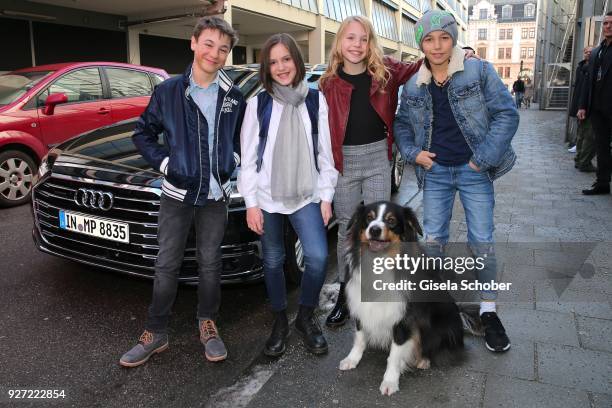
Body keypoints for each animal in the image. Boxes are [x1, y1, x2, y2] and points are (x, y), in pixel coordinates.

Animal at [340, 201, 478, 396]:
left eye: (391, 220)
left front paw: (390, 381)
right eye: (368, 218)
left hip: (439, 324)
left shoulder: (404, 317)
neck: (380, 261)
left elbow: (395, 354)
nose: (374, 229)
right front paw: (352, 359)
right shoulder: (361, 306)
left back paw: (424, 360)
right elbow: (359, 337)